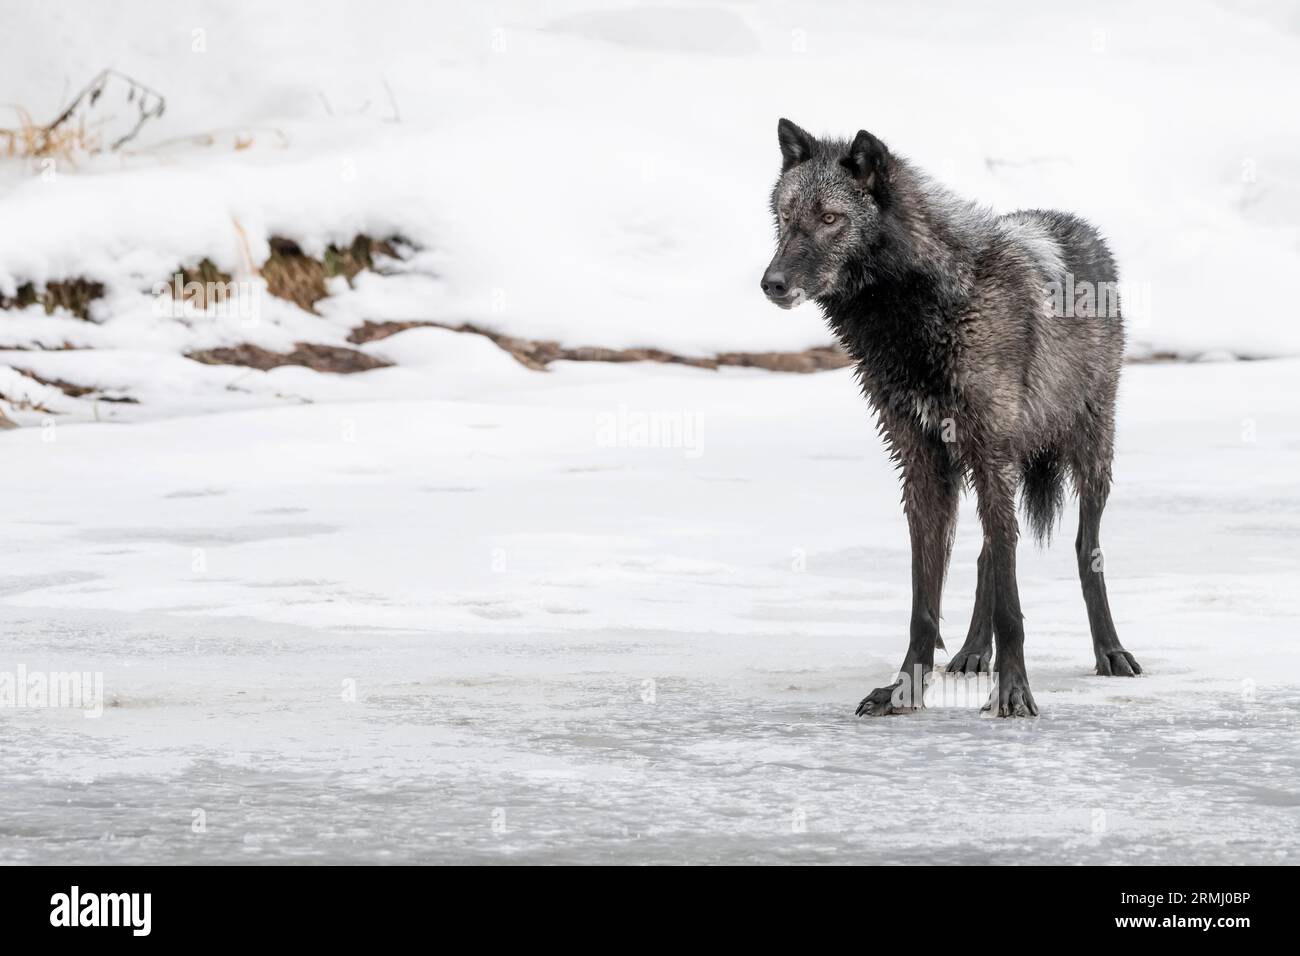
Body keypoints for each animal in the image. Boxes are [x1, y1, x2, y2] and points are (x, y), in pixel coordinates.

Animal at [761, 118, 1141, 717]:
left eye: (830, 218)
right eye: (785, 215)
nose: (772, 282)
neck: (921, 309)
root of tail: (1078, 225)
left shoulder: (989, 451)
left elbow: (1012, 603)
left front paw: (1013, 691)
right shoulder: (920, 461)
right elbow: (926, 600)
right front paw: (904, 690)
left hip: (1089, 456)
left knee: (1085, 551)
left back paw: (1110, 652)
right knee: (990, 553)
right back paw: (971, 653)